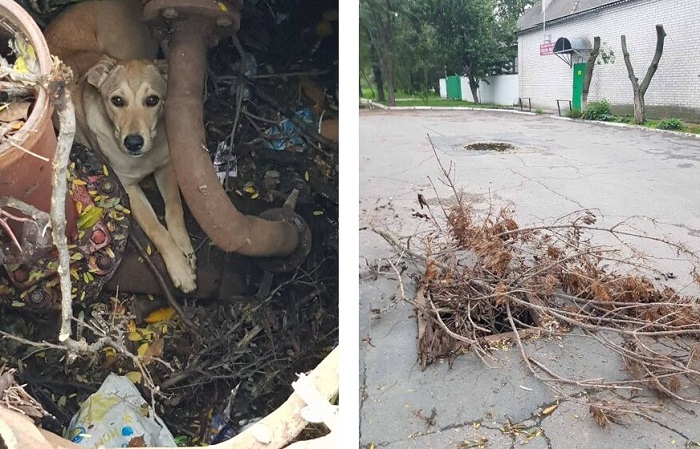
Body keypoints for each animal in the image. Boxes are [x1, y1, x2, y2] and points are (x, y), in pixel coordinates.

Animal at [45, 0, 197, 292]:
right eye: (117, 101)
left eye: (153, 100)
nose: (134, 142)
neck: (143, 158)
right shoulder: (128, 189)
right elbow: (156, 229)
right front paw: (180, 269)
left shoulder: (167, 165)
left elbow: (175, 208)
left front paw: (185, 248)